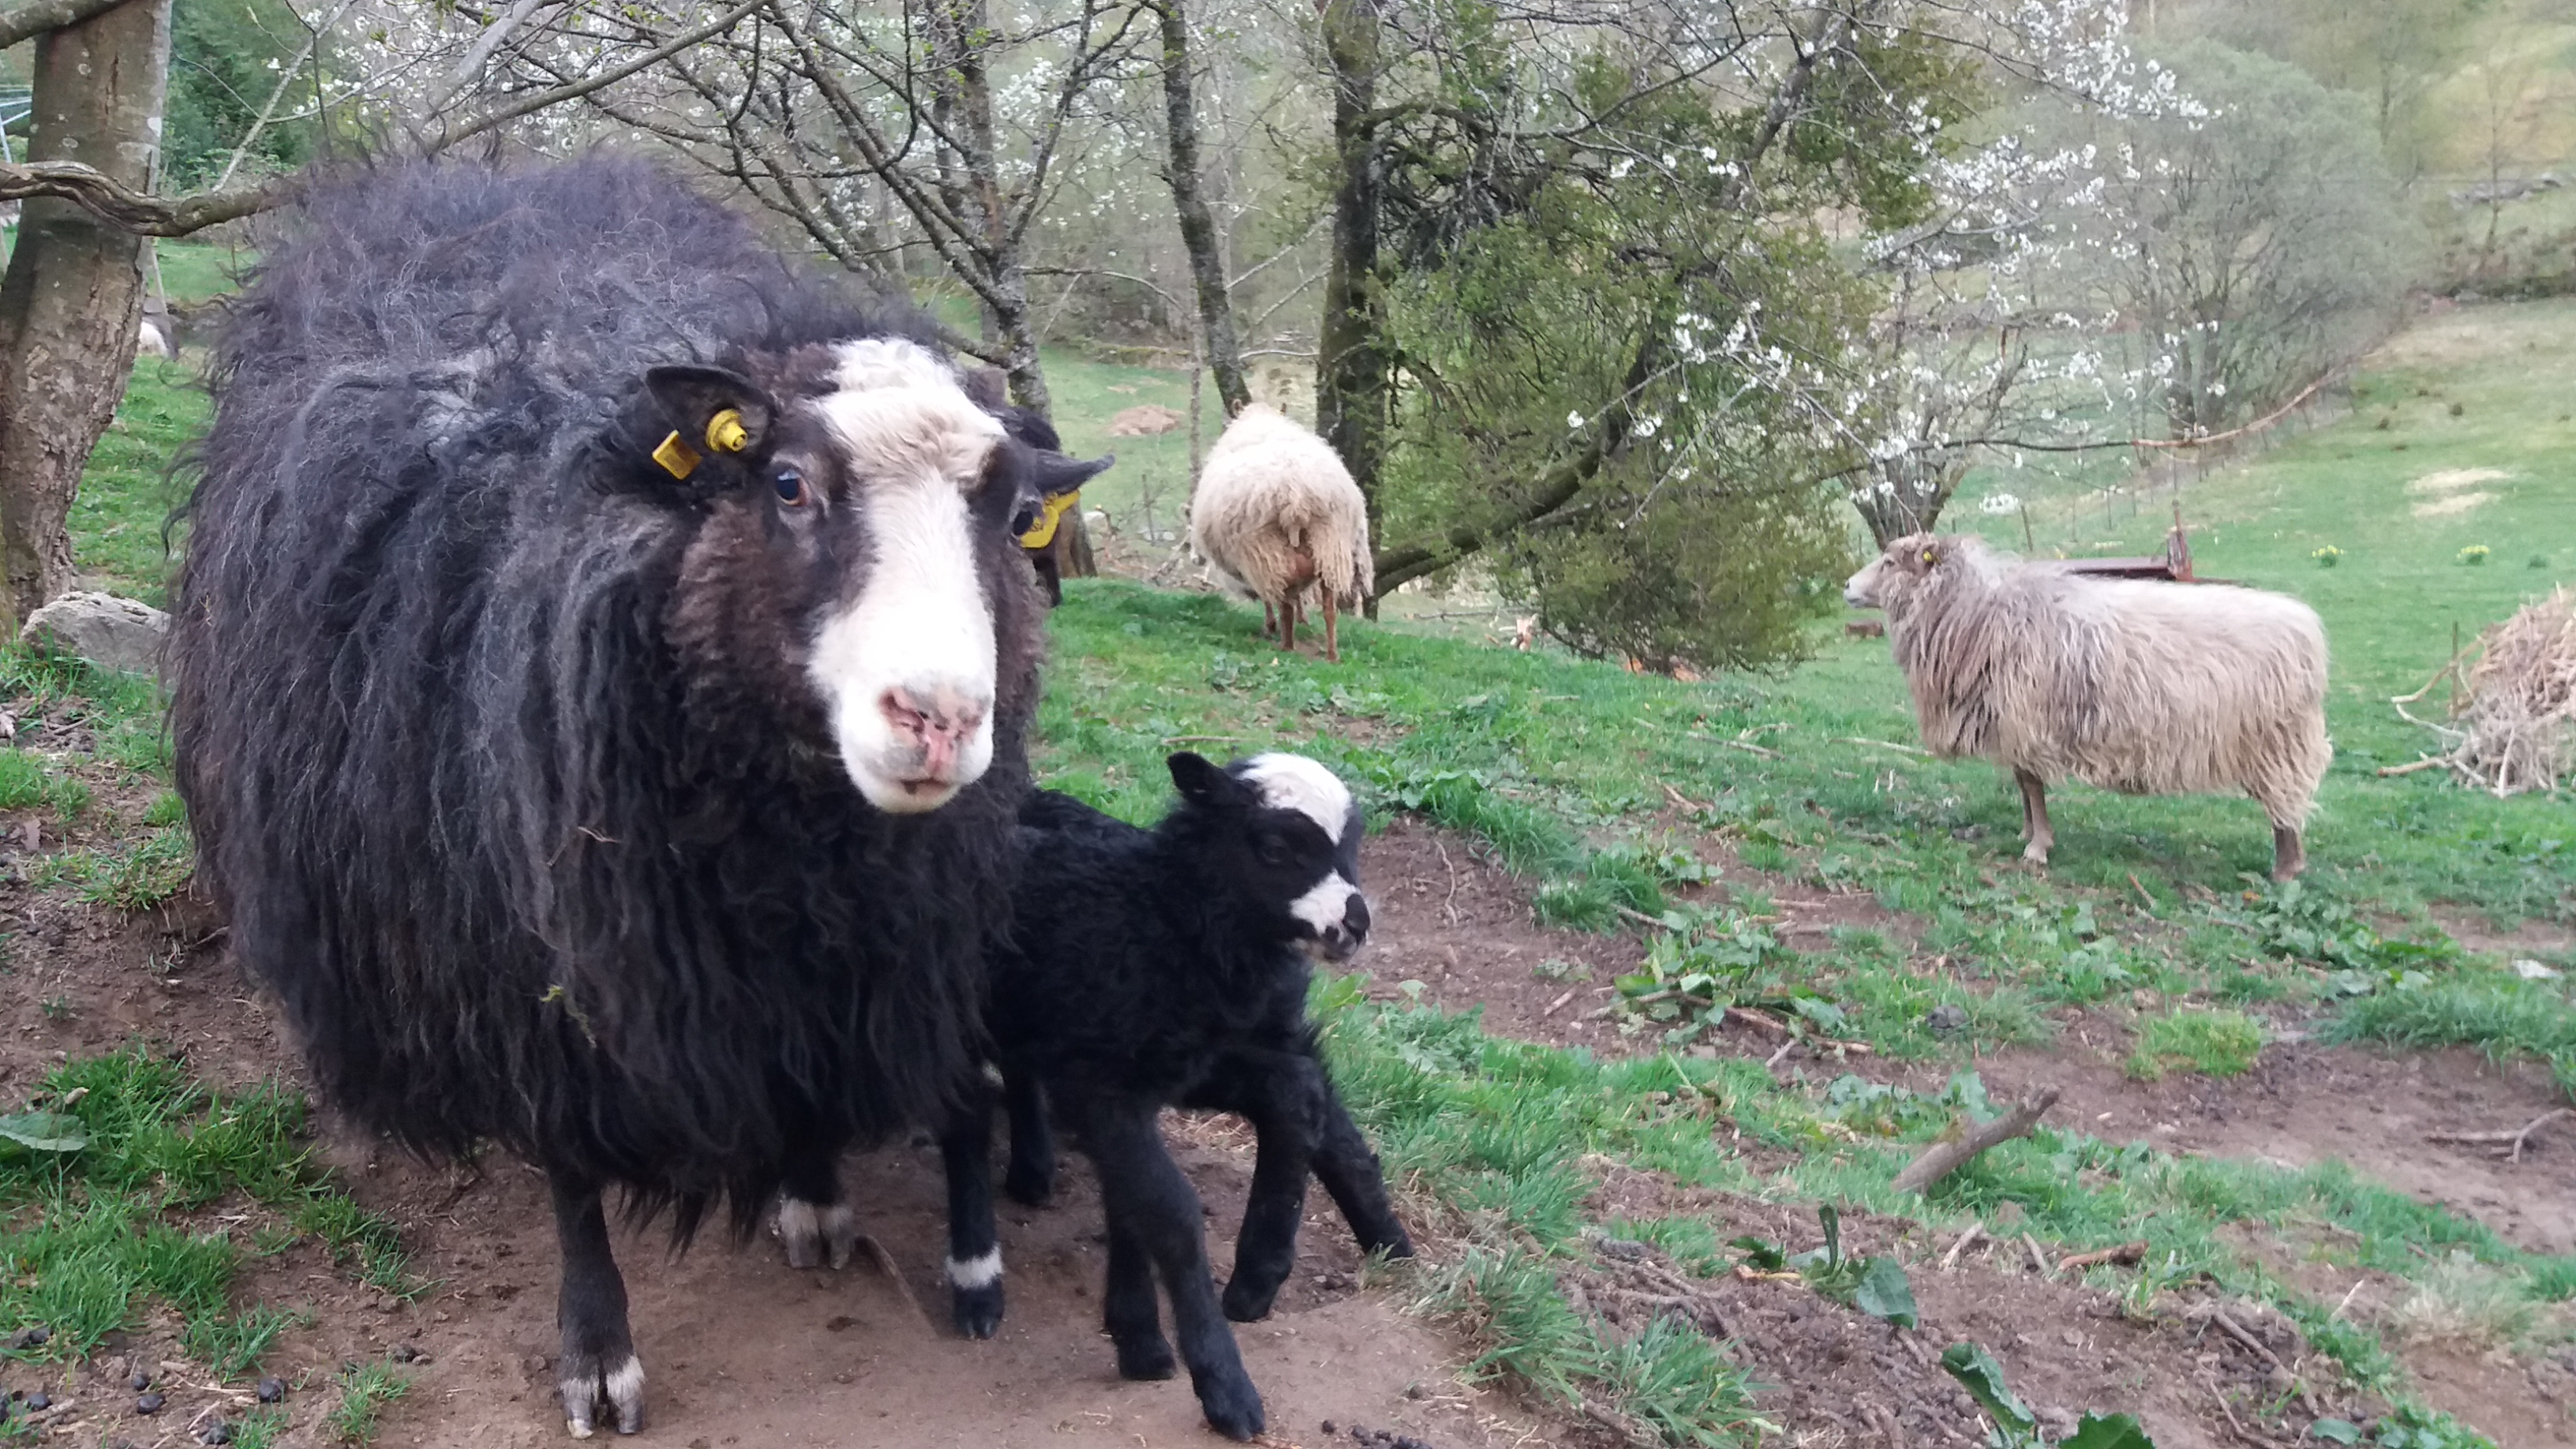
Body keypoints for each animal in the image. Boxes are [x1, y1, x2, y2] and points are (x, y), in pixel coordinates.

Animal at [163, 158, 1097, 1433]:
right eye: (789, 483)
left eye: (1009, 517)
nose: (940, 718)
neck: (789, 829)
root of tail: (472, 183)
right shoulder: (538, 956)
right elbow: (570, 1169)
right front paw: (596, 1354)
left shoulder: (837, 943)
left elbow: (803, 1065)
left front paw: (812, 1193)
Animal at [938, 747, 1411, 1433]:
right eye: (1275, 848)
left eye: (1352, 848)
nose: (1354, 923)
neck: (1158, 921)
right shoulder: (1106, 1083)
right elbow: (1171, 1211)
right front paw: (1224, 1383)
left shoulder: (1190, 1064)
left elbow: (1303, 1105)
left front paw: (1251, 1277)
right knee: (964, 1124)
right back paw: (978, 1283)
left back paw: (1033, 1173)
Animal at [1189, 399, 1380, 660]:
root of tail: (1297, 496)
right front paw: (1303, 620)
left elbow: (1269, 596)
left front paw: (1273, 625)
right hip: (1329, 545)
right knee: (1328, 606)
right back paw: (1332, 654)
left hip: (1267, 548)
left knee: (1283, 600)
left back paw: (1286, 644)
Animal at [1844, 528, 2328, 876]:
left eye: (1890, 562)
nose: (1846, 586)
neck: (1977, 613)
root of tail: (2308, 630)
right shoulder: (2012, 721)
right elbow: (2023, 783)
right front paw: (2027, 831)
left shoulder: (2026, 717)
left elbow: (2031, 783)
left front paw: (2038, 846)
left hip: (2276, 744)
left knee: (2285, 809)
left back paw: (2285, 872)